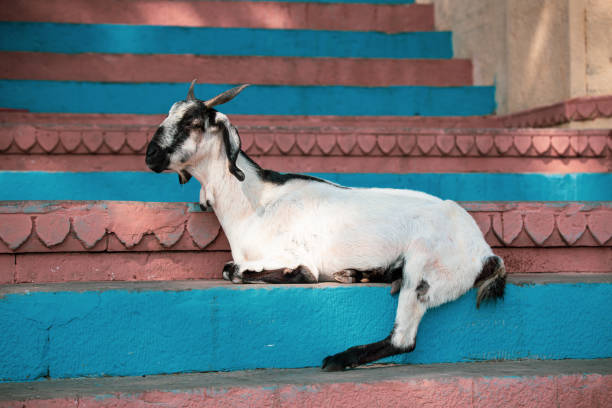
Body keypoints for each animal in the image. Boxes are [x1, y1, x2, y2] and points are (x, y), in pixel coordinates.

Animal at [145, 81, 506, 372]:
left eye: (192, 122)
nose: (150, 155)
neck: (255, 202)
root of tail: (486, 253)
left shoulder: (291, 253)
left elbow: (235, 269)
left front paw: (296, 275)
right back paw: (360, 274)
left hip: (425, 267)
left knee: (403, 339)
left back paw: (340, 358)